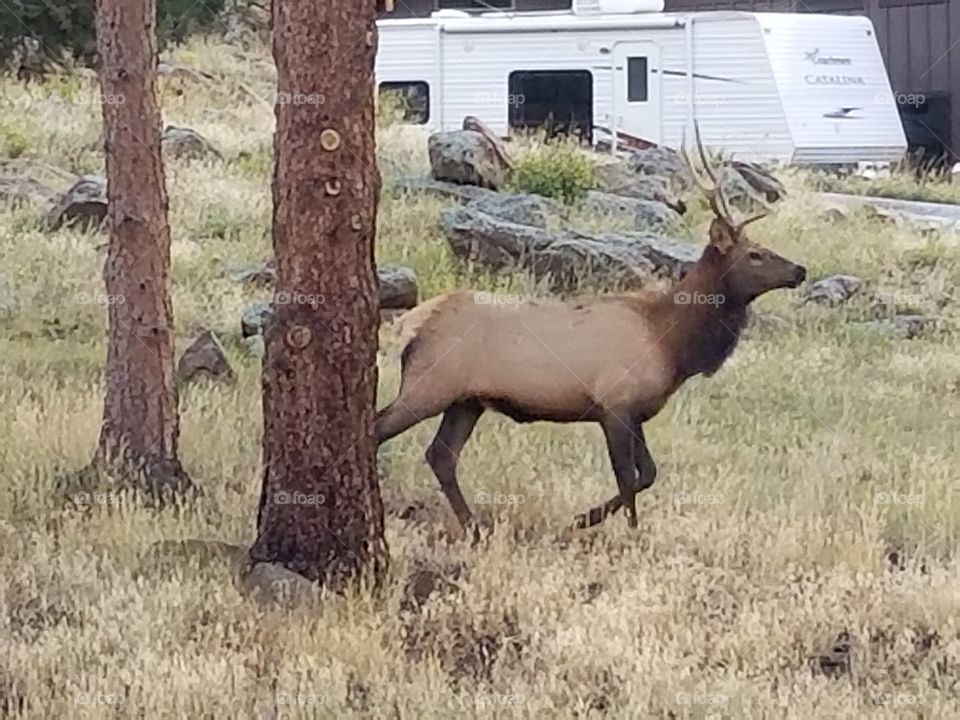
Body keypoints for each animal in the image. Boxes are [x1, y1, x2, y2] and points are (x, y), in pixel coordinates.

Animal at [376, 131, 804, 536]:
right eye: (755, 254)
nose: (799, 269)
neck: (672, 344)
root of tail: (413, 321)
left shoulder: (634, 410)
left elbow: (648, 474)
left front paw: (581, 519)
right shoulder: (614, 404)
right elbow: (629, 478)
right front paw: (622, 532)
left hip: (467, 400)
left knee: (441, 455)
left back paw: (474, 527)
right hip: (430, 384)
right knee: (381, 428)